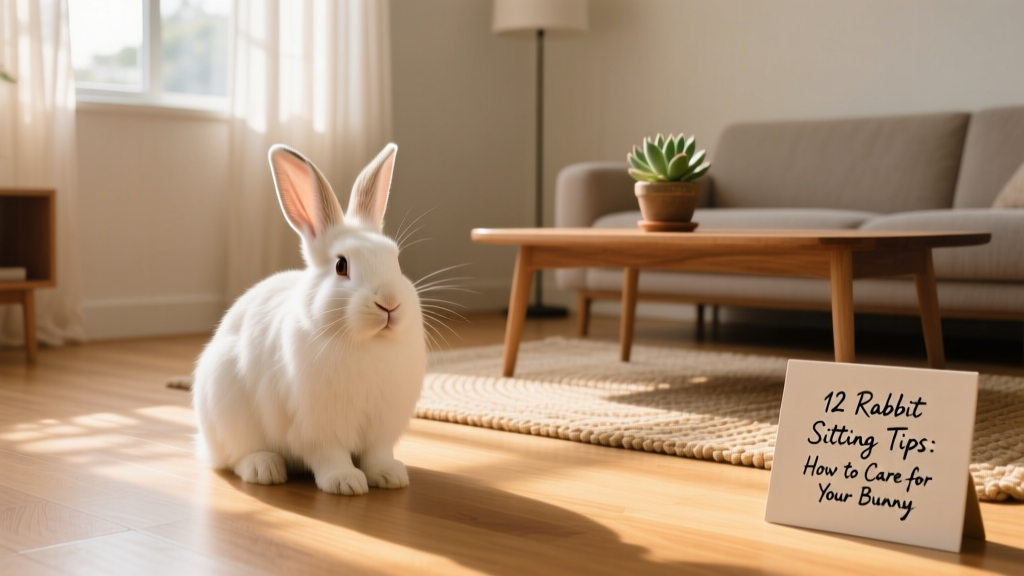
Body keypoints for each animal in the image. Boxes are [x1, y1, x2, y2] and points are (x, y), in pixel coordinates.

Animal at [191, 143, 426, 495]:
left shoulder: (381, 427)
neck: (366, 343)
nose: (389, 303)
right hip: (225, 406)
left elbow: (378, 454)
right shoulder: (317, 427)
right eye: (341, 265)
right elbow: (330, 455)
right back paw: (265, 469)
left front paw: (390, 477)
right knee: (236, 457)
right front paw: (346, 483)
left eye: (395, 260)